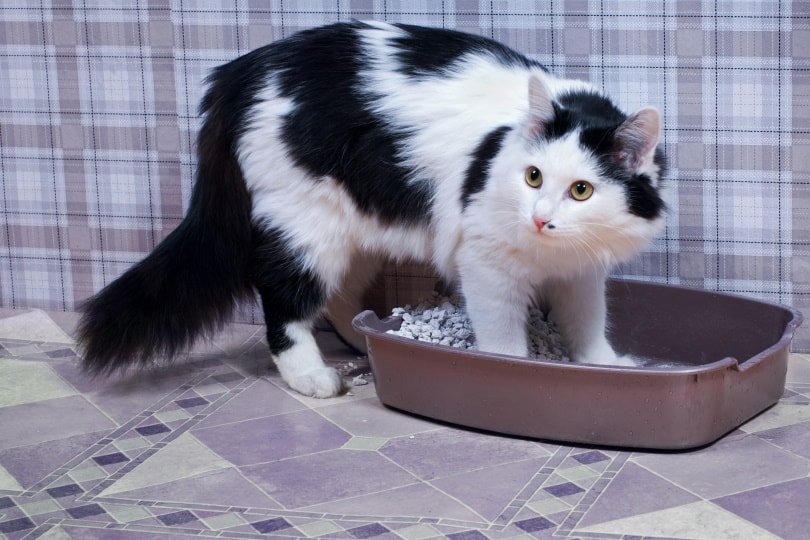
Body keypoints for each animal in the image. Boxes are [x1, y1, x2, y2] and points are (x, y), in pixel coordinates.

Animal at [79, 20, 664, 396]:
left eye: (582, 191)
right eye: (533, 176)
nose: (541, 218)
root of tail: (239, 74)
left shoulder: (581, 272)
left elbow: (588, 325)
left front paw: (605, 367)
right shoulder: (486, 264)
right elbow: (504, 340)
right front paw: (516, 374)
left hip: (353, 230)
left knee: (339, 300)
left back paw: (367, 340)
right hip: (305, 228)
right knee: (283, 303)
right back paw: (313, 377)